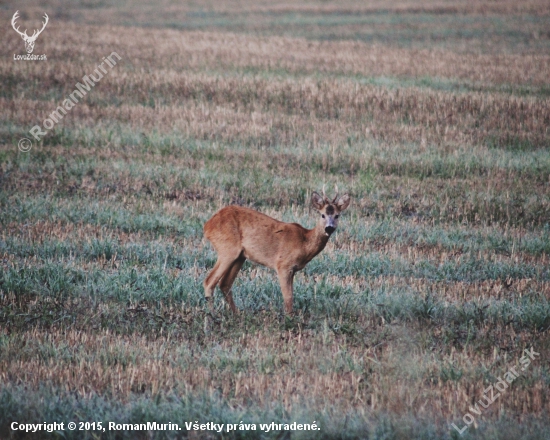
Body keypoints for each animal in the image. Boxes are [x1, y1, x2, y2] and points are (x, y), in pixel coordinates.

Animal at [204, 189, 354, 312]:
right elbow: (288, 297)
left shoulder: (292, 269)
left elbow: (291, 295)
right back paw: (212, 316)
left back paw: (236, 315)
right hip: (227, 249)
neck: (304, 242)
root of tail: (207, 226)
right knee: (209, 281)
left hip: (240, 256)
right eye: (322, 215)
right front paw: (289, 320)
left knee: (225, 284)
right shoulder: (283, 265)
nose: (329, 228)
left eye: (337, 215)